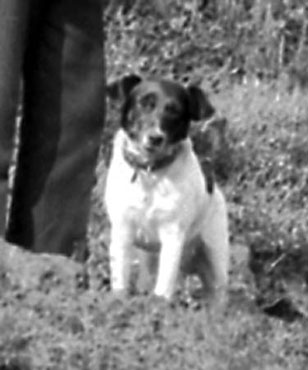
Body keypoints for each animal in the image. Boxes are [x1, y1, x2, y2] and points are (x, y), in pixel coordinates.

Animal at [105, 74, 229, 304]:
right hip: (149, 257)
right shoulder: (122, 231)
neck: (149, 172)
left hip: (215, 257)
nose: (155, 138)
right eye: (145, 103)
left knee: (218, 293)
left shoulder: (173, 236)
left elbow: (163, 289)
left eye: (175, 111)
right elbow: (120, 283)